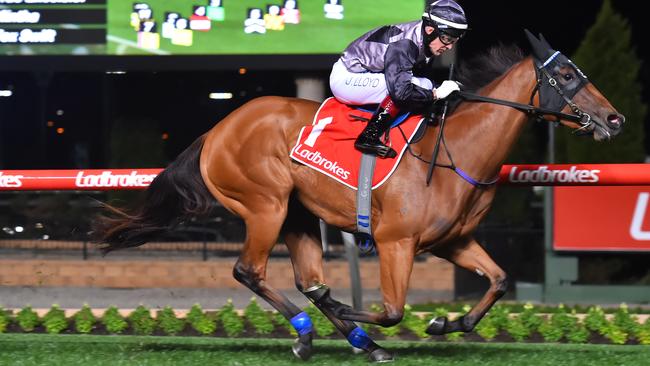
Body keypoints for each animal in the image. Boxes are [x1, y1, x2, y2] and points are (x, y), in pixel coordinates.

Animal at [96, 32, 624, 360]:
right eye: (569, 76)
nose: (615, 118)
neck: (456, 151)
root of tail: (219, 128)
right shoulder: (396, 242)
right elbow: (392, 310)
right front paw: (356, 313)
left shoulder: (451, 241)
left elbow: (497, 281)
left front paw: (445, 325)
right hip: (266, 205)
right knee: (250, 270)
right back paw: (313, 333)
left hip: (297, 214)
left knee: (306, 279)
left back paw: (353, 339)